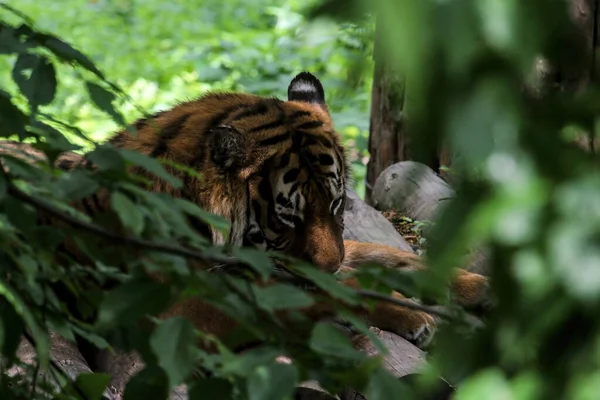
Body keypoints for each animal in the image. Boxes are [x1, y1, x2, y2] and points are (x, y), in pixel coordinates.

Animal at [2, 70, 492, 354]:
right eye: (288, 216)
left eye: (336, 202)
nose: (328, 268)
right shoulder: (178, 309)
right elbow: (330, 292)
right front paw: (412, 315)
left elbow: (386, 256)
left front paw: (476, 287)